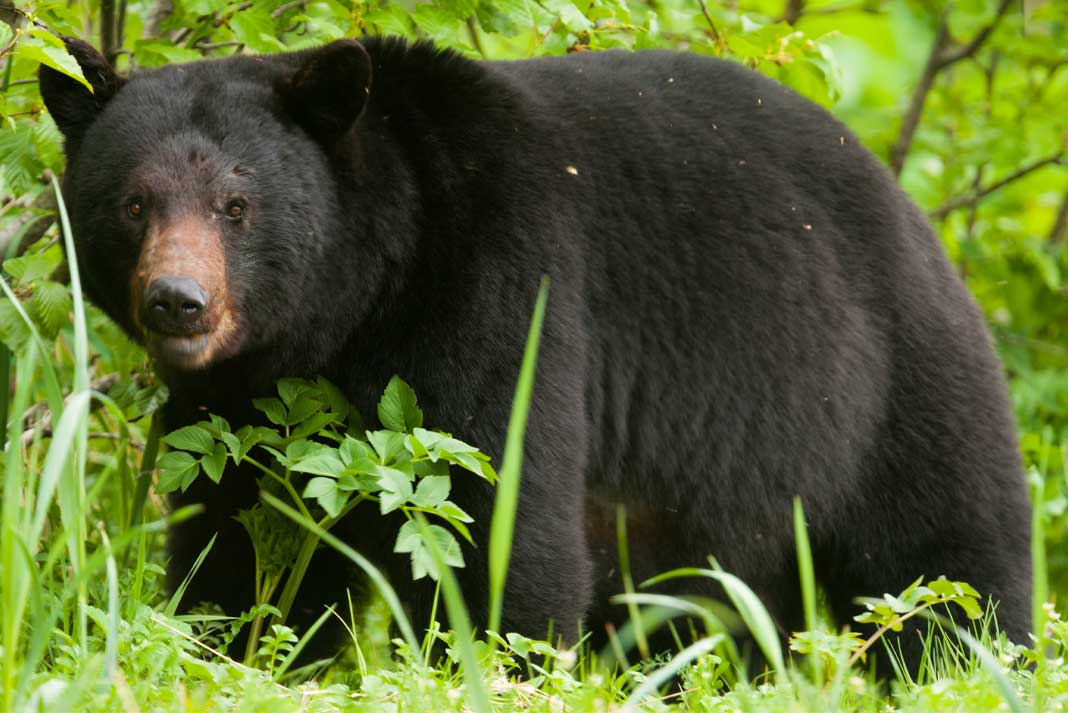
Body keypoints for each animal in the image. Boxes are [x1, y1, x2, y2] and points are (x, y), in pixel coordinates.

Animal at [39, 35, 1031, 668]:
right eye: (134, 203)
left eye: (236, 207)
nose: (178, 301)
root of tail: (916, 215)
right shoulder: (240, 400)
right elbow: (239, 529)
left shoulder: (504, 285)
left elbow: (499, 513)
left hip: (890, 391)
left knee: (949, 568)